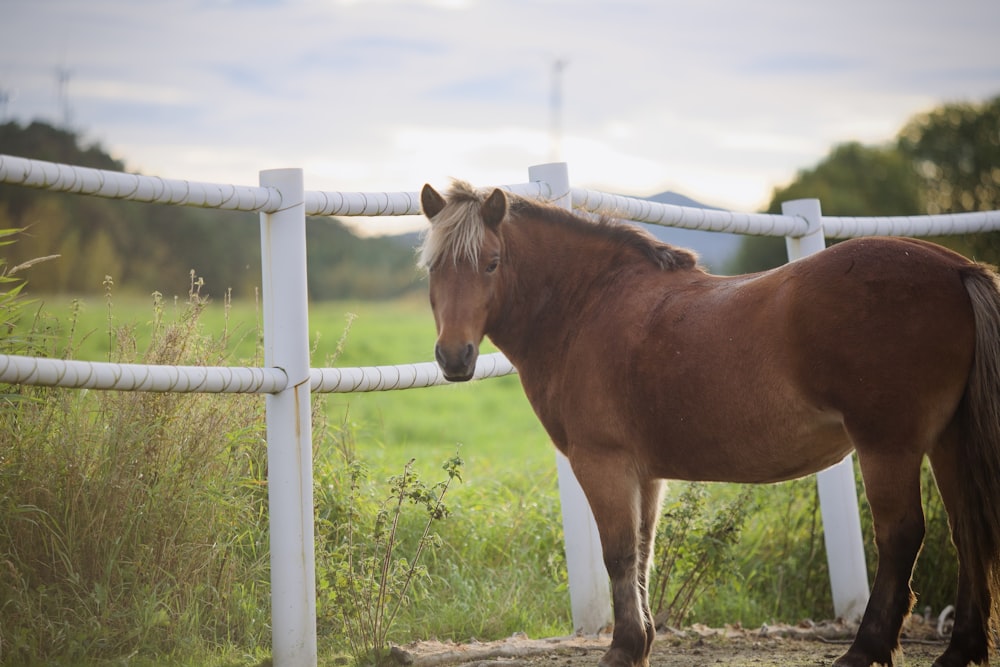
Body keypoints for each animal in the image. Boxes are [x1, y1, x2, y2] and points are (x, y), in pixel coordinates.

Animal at [416, 181, 1000, 667]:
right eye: (433, 269)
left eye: (491, 263)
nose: (453, 357)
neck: (588, 305)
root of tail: (955, 268)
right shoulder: (645, 474)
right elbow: (643, 552)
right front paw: (641, 644)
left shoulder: (602, 463)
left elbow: (618, 553)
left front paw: (622, 648)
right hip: (947, 442)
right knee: (967, 529)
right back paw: (960, 651)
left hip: (888, 447)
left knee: (901, 537)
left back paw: (864, 651)